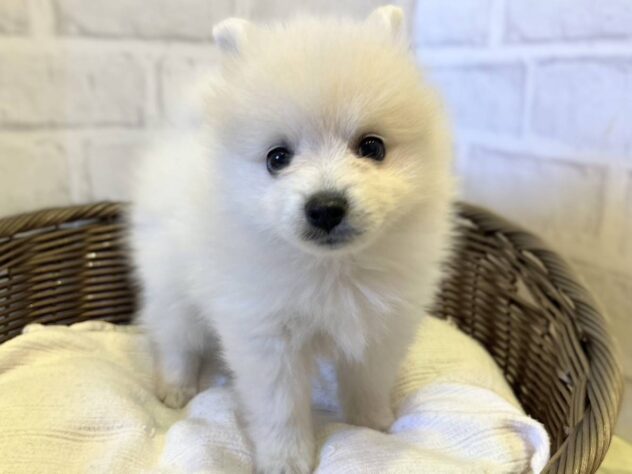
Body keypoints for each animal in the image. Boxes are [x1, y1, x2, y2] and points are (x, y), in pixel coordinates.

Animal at [130, 5, 456, 473]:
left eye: (372, 147)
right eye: (277, 158)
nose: (325, 207)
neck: (333, 269)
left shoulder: (382, 323)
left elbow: (369, 380)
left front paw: (371, 424)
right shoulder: (266, 334)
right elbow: (280, 407)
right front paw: (285, 459)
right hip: (172, 284)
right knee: (175, 337)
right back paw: (175, 386)